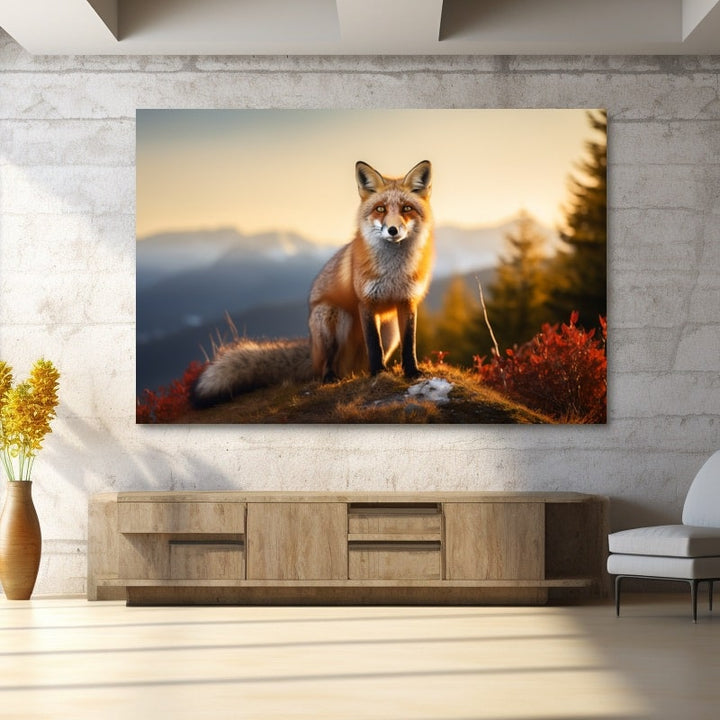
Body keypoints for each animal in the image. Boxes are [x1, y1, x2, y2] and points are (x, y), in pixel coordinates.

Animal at [190, 160, 434, 408]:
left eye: (406, 209)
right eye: (381, 209)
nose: (393, 230)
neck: (394, 270)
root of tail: (312, 351)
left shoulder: (407, 302)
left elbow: (410, 344)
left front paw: (412, 372)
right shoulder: (366, 302)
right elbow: (374, 346)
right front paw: (378, 374)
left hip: (390, 331)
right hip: (330, 316)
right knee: (327, 366)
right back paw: (333, 377)